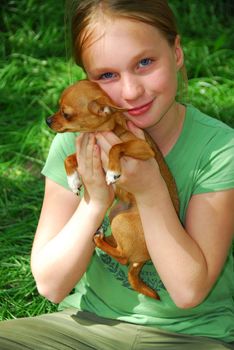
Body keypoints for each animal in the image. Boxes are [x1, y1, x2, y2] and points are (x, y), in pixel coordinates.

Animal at [47, 80, 179, 300]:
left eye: (66, 114)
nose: (47, 120)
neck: (109, 129)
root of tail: (142, 261)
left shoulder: (143, 147)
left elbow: (116, 147)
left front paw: (112, 171)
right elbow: (69, 158)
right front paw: (73, 180)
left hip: (121, 220)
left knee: (124, 257)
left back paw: (101, 241)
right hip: (116, 212)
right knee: (117, 246)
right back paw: (99, 236)